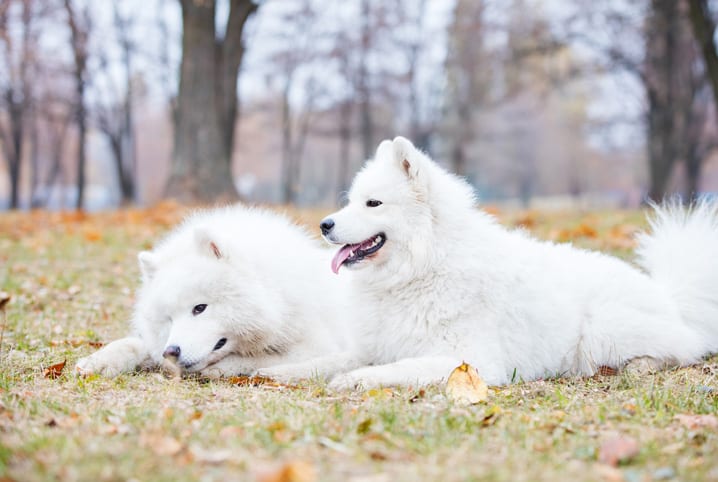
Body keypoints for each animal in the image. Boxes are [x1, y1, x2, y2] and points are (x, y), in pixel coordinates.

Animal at [76, 205, 358, 378]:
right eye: (169, 319)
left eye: (200, 308)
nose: (171, 351)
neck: (276, 293)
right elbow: (134, 343)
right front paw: (98, 361)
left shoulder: (315, 345)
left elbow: (259, 358)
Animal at [320, 136, 718, 388]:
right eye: (351, 201)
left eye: (373, 203)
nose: (325, 225)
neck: (424, 266)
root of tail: (668, 298)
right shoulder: (371, 347)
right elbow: (330, 359)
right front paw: (312, 369)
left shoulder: (470, 360)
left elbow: (395, 368)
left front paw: (354, 380)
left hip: (603, 329)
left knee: (684, 350)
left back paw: (640, 366)